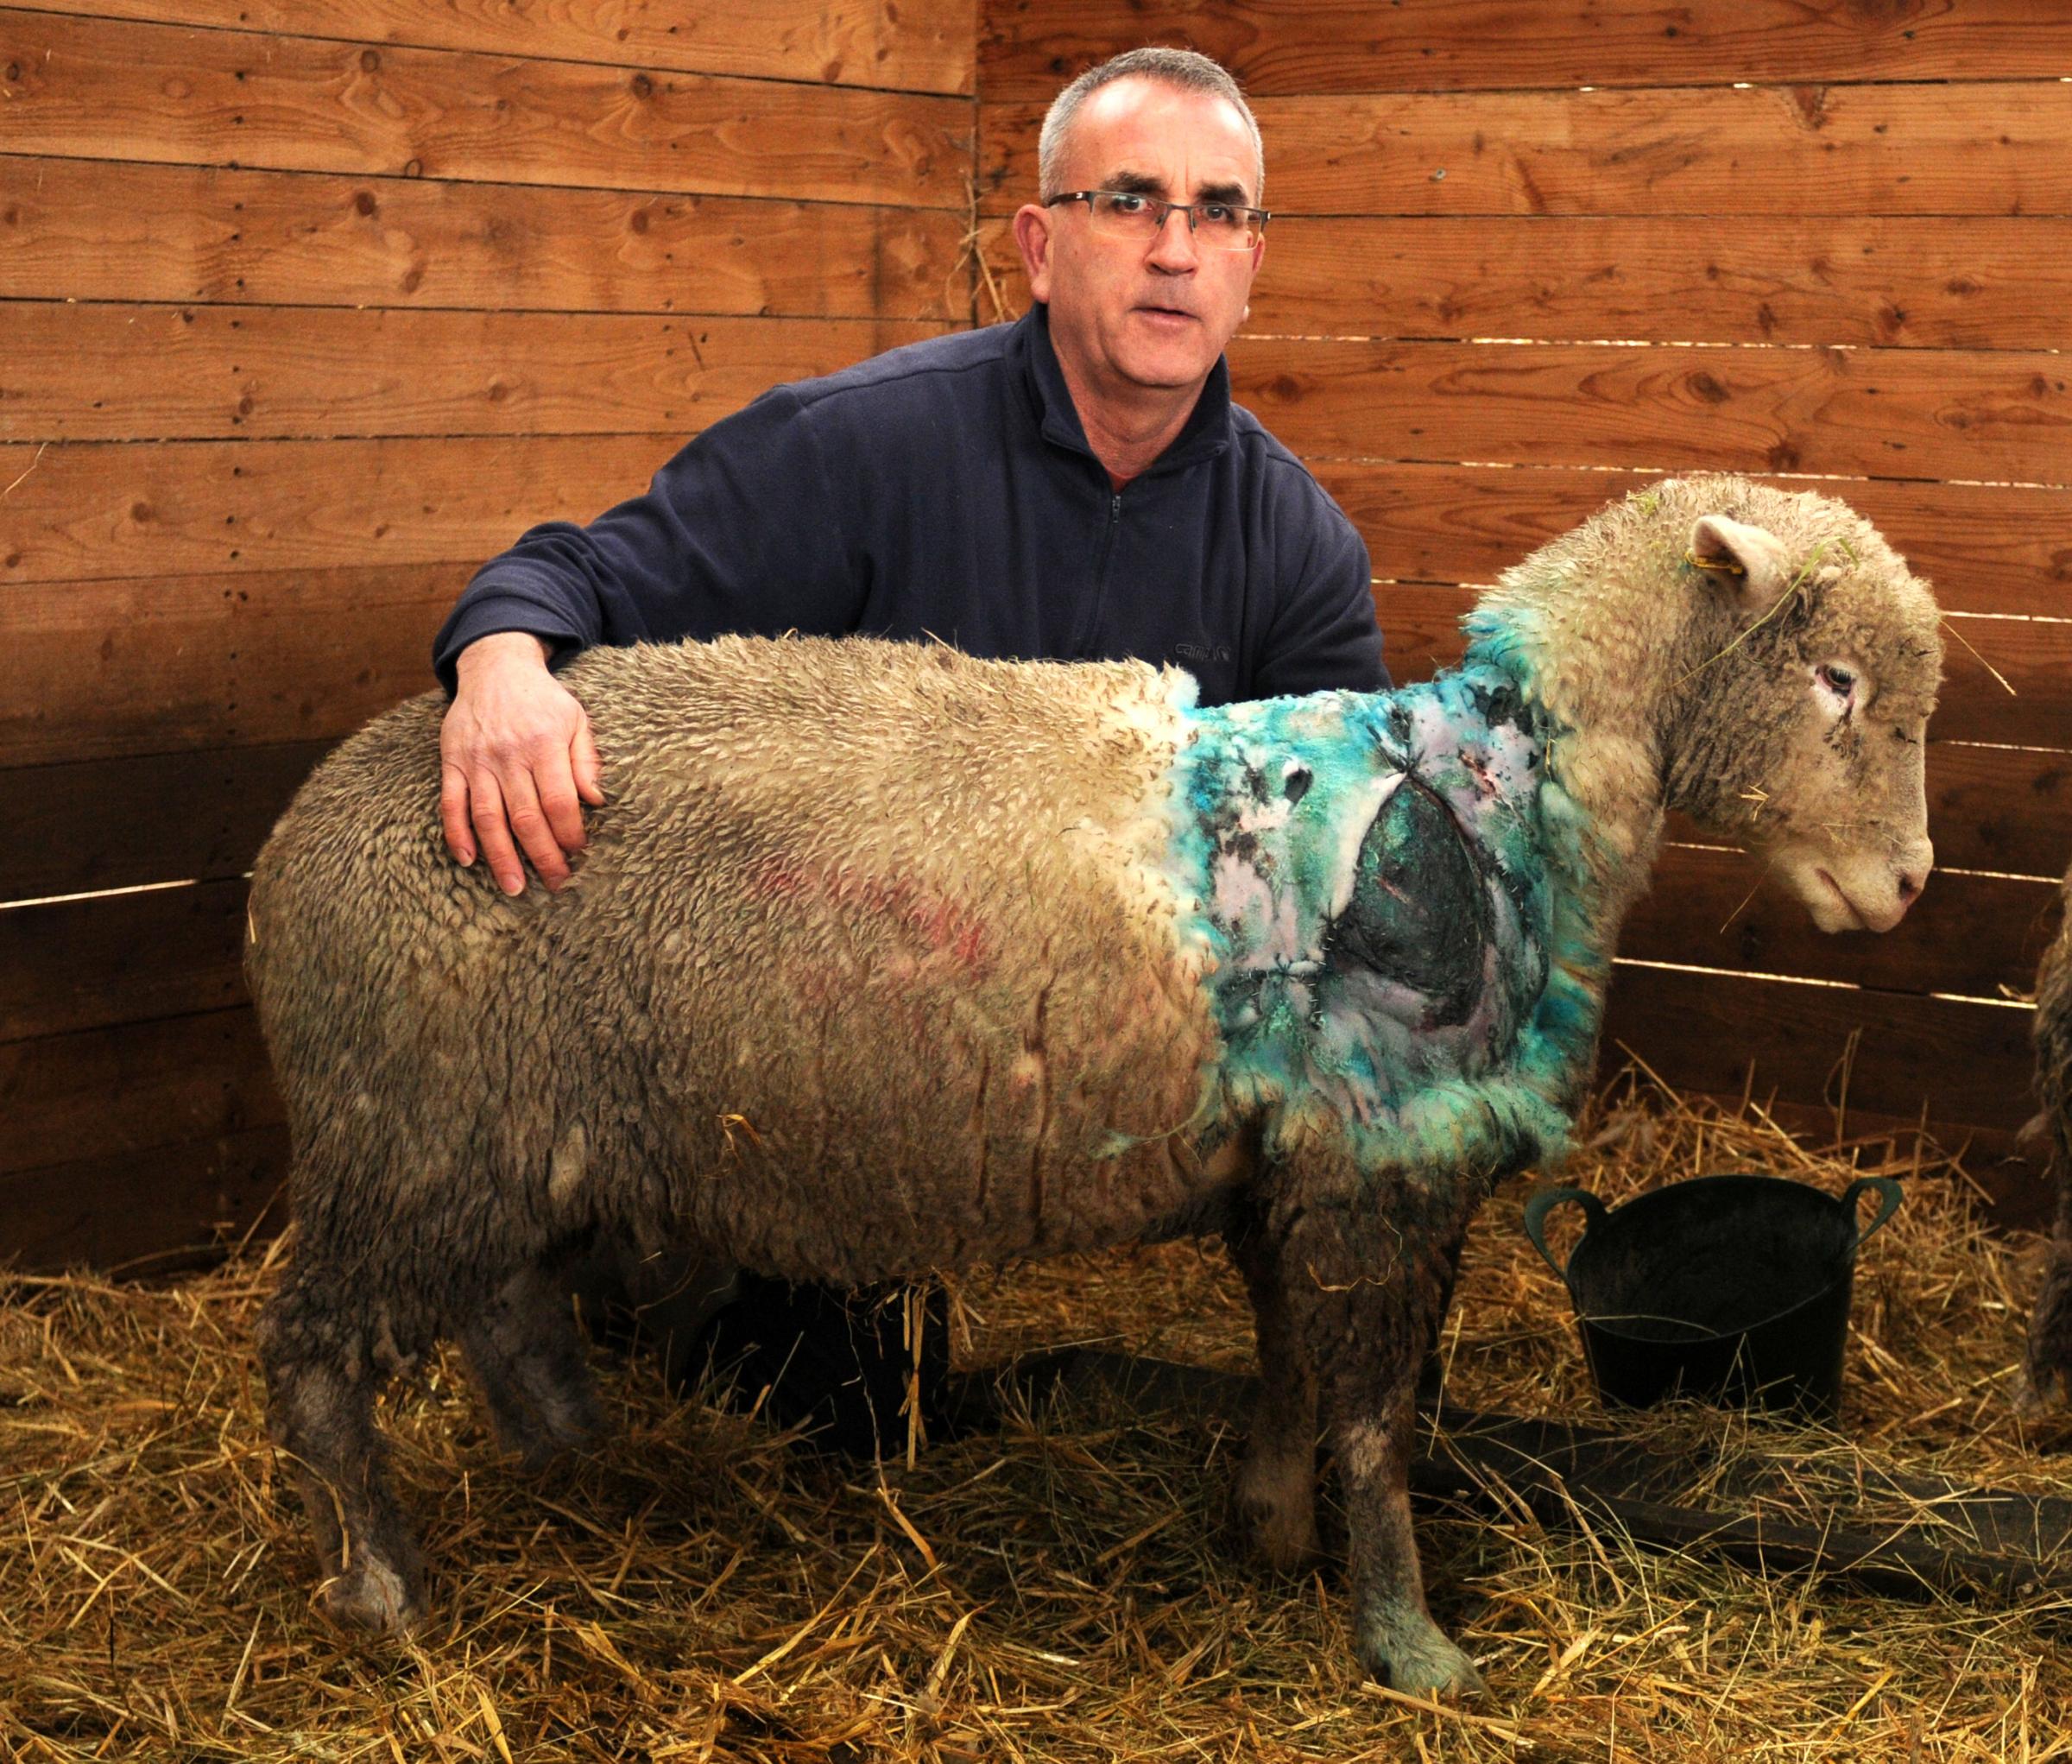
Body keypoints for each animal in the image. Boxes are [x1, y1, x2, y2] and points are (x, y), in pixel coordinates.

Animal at [246, 468, 1939, 1699]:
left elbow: (1289, 1360)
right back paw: (382, 1582)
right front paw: (1410, 1644)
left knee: (500, 1293)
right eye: (1836, 679)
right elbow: (1377, 1414)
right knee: (317, 1352)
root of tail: (293, 847)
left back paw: (562, 1439)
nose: (1912, 880)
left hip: (493, 1126)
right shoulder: (1376, 1161)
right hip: (407, 1124)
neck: (1502, 787)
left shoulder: (1295, 1157)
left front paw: (1270, 1525)